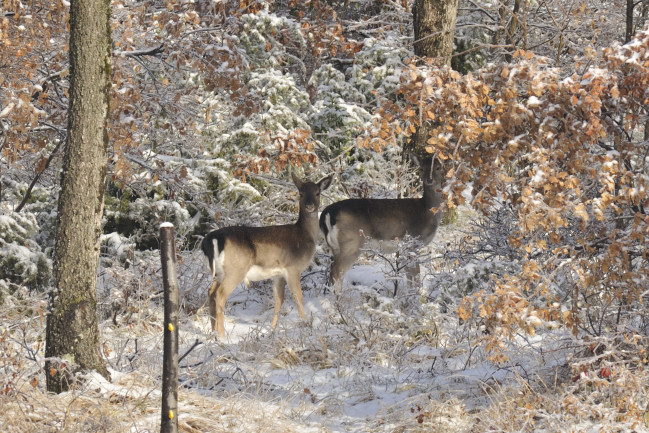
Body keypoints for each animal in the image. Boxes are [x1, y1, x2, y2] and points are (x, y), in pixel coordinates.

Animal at [201, 171, 334, 338]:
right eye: (301, 192)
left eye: (317, 193)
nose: (309, 206)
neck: (304, 236)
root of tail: (211, 239)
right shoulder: (293, 267)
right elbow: (298, 297)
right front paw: (306, 324)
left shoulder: (278, 274)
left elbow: (279, 299)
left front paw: (272, 329)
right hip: (235, 270)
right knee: (220, 295)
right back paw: (222, 336)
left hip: (219, 272)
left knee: (210, 292)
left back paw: (214, 333)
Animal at [320, 155, 442, 290]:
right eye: (421, 168)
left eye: (438, 167)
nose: (429, 179)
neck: (427, 210)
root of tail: (327, 214)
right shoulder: (413, 242)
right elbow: (416, 276)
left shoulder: (406, 248)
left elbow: (409, 276)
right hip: (351, 243)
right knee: (337, 272)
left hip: (335, 247)